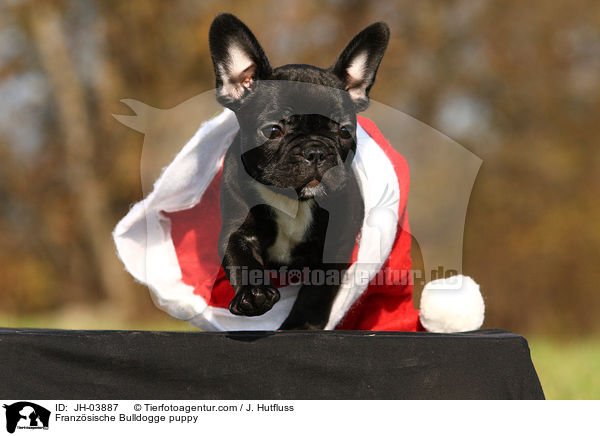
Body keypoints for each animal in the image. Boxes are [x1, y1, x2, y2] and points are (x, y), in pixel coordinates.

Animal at [209, 12, 392, 328]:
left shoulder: (336, 244)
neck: (293, 200)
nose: (316, 151)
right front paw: (253, 294)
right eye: (273, 130)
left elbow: (318, 289)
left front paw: (302, 323)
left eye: (345, 131)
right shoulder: (238, 228)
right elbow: (241, 259)